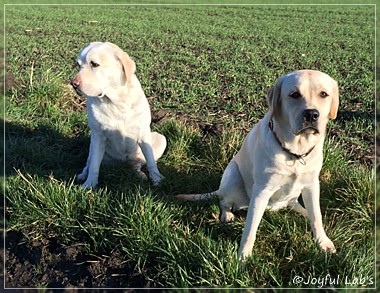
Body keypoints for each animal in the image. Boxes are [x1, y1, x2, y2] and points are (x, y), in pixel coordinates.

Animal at [71, 42, 166, 188]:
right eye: (78, 65)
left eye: (94, 64)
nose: (73, 84)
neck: (116, 101)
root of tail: (121, 165)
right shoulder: (97, 135)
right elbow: (94, 166)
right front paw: (90, 184)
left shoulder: (143, 132)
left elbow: (151, 161)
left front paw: (157, 179)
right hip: (93, 146)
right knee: (89, 163)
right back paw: (82, 175)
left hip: (161, 139)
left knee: (137, 164)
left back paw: (140, 174)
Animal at [177, 69, 338, 258]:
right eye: (294, 94)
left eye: (323, 94)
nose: (311, 114)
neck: (295, 152)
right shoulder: (262, 190)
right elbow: (250, 228)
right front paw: (243, 257)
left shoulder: (312, 184)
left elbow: (316, 216)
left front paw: (323, 242)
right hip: (233, 175)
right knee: (224, 201)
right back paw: (227, 215)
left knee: (297, 205)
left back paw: (304, 212)